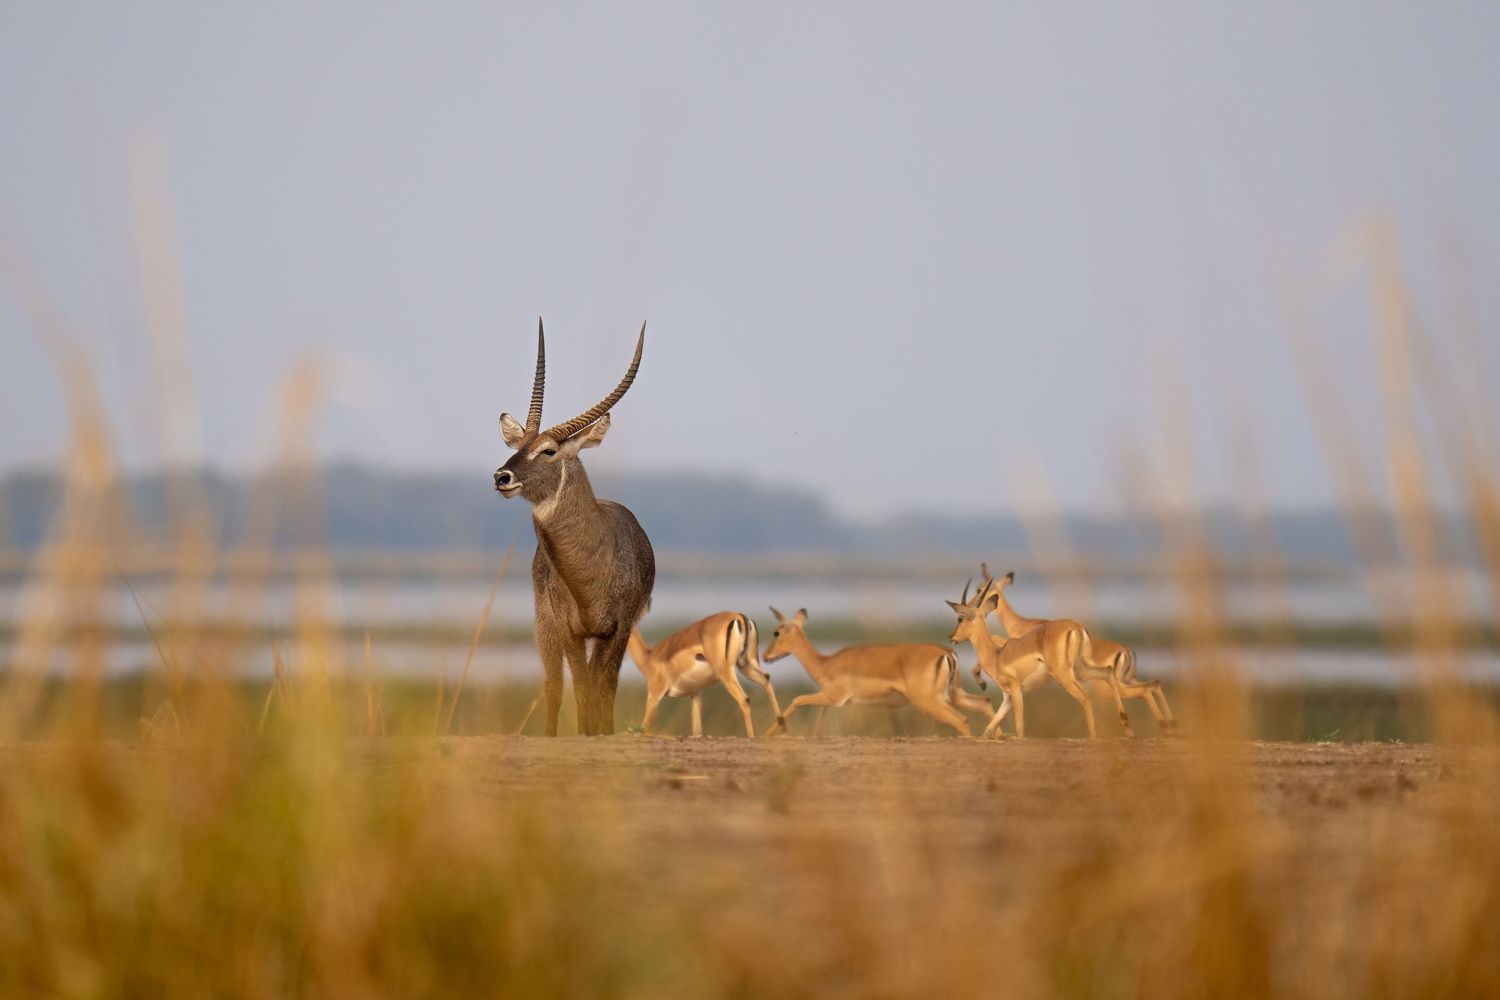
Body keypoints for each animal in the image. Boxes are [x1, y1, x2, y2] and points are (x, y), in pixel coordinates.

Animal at [494, 319, 655, 736]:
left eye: (549, 449)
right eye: (518, 445)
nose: (502, 477)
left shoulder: (617, 630)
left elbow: (605, 690)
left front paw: (603, 733)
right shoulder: (569, 630)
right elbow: (581, 692)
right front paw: (586, 735)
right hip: (545, 629)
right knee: (553, 686)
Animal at [627, 612, 786, 737]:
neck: (649, 657)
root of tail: (739, 616)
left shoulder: (654, 695)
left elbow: (644, 728)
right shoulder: (696, 694)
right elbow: (697, 731)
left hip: (726, 672)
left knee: (744, 698)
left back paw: (752, 736)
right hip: (747, 665)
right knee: (766, 680)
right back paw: (784, 730)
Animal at [762, 607, 992, 736]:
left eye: (776, 632)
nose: (765, 656)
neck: (825, 663)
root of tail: (946, 652)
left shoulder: (834, 697)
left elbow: (798, 699)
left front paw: (772, 733)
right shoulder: (830, 699)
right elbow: (818, 712)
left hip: (929, 701)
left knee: (961, 720)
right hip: (953, 694)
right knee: (984, 703)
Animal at [946, 579, 1099, 738]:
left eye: (960, 618)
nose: (951, 636)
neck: (997, 656)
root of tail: (1076, 626)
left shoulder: (1016, 689)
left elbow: (1019, 727)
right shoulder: (1007, 697)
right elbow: (989, 729)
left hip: (1064, 675)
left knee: (1085, 697)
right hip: (1084, 670)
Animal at [981, 566, 1176, 733]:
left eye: (979, 590)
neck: (1020, 623)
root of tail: (1126, 650)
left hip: (1105, 686)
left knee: (1140, 690)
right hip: (1125, 680)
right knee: (1153, 684)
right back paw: (1168, 725)